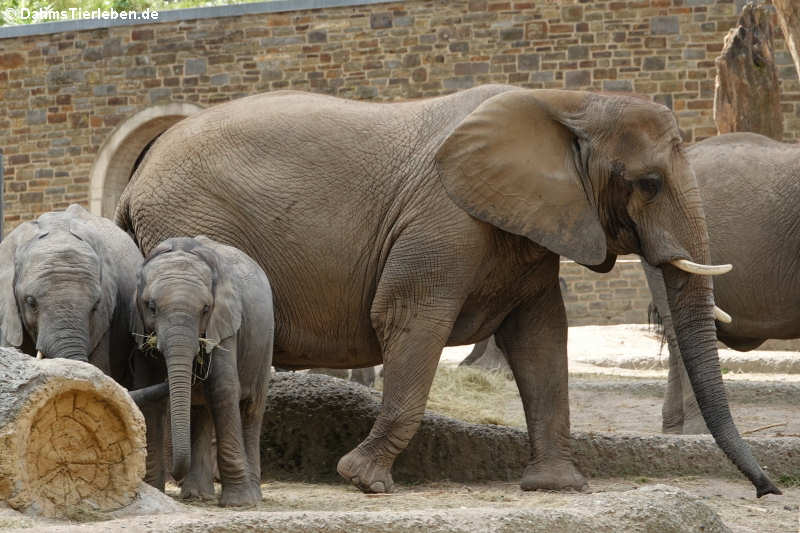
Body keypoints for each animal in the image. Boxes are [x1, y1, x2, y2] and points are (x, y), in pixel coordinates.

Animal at [138, 235, 276, 504]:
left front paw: (238, 504)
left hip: (265, 344)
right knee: (202, 411)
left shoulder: (225, 325)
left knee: (251, 410)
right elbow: (150, 391)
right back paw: (197, 495)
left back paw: (253, 497)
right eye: (151, 307)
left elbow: (223, 388)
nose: (174, 476)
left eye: (204, 309)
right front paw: (154, 491)